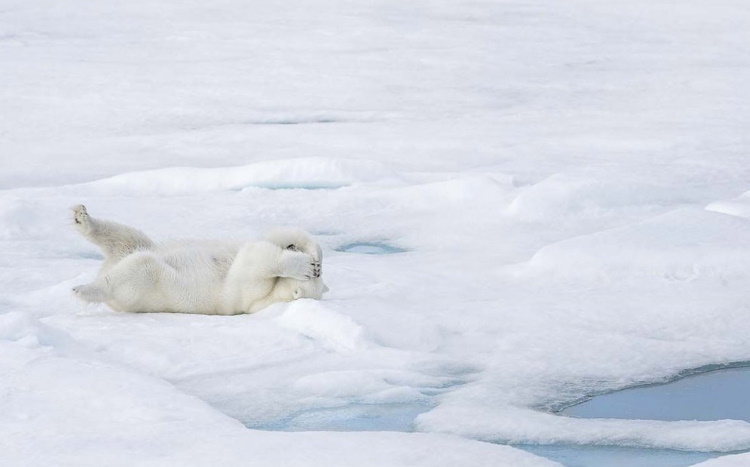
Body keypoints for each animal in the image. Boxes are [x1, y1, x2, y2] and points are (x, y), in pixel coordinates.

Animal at [72, 204, 328, 314]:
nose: (293, 249)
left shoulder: (250, 295)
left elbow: (254, 261)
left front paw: (303, 265)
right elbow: (272, 238)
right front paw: (312, 256)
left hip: (146, 287)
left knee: (139, 267)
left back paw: (84, 289)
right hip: (136, 246)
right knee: (127, 237)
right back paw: (82, 218)